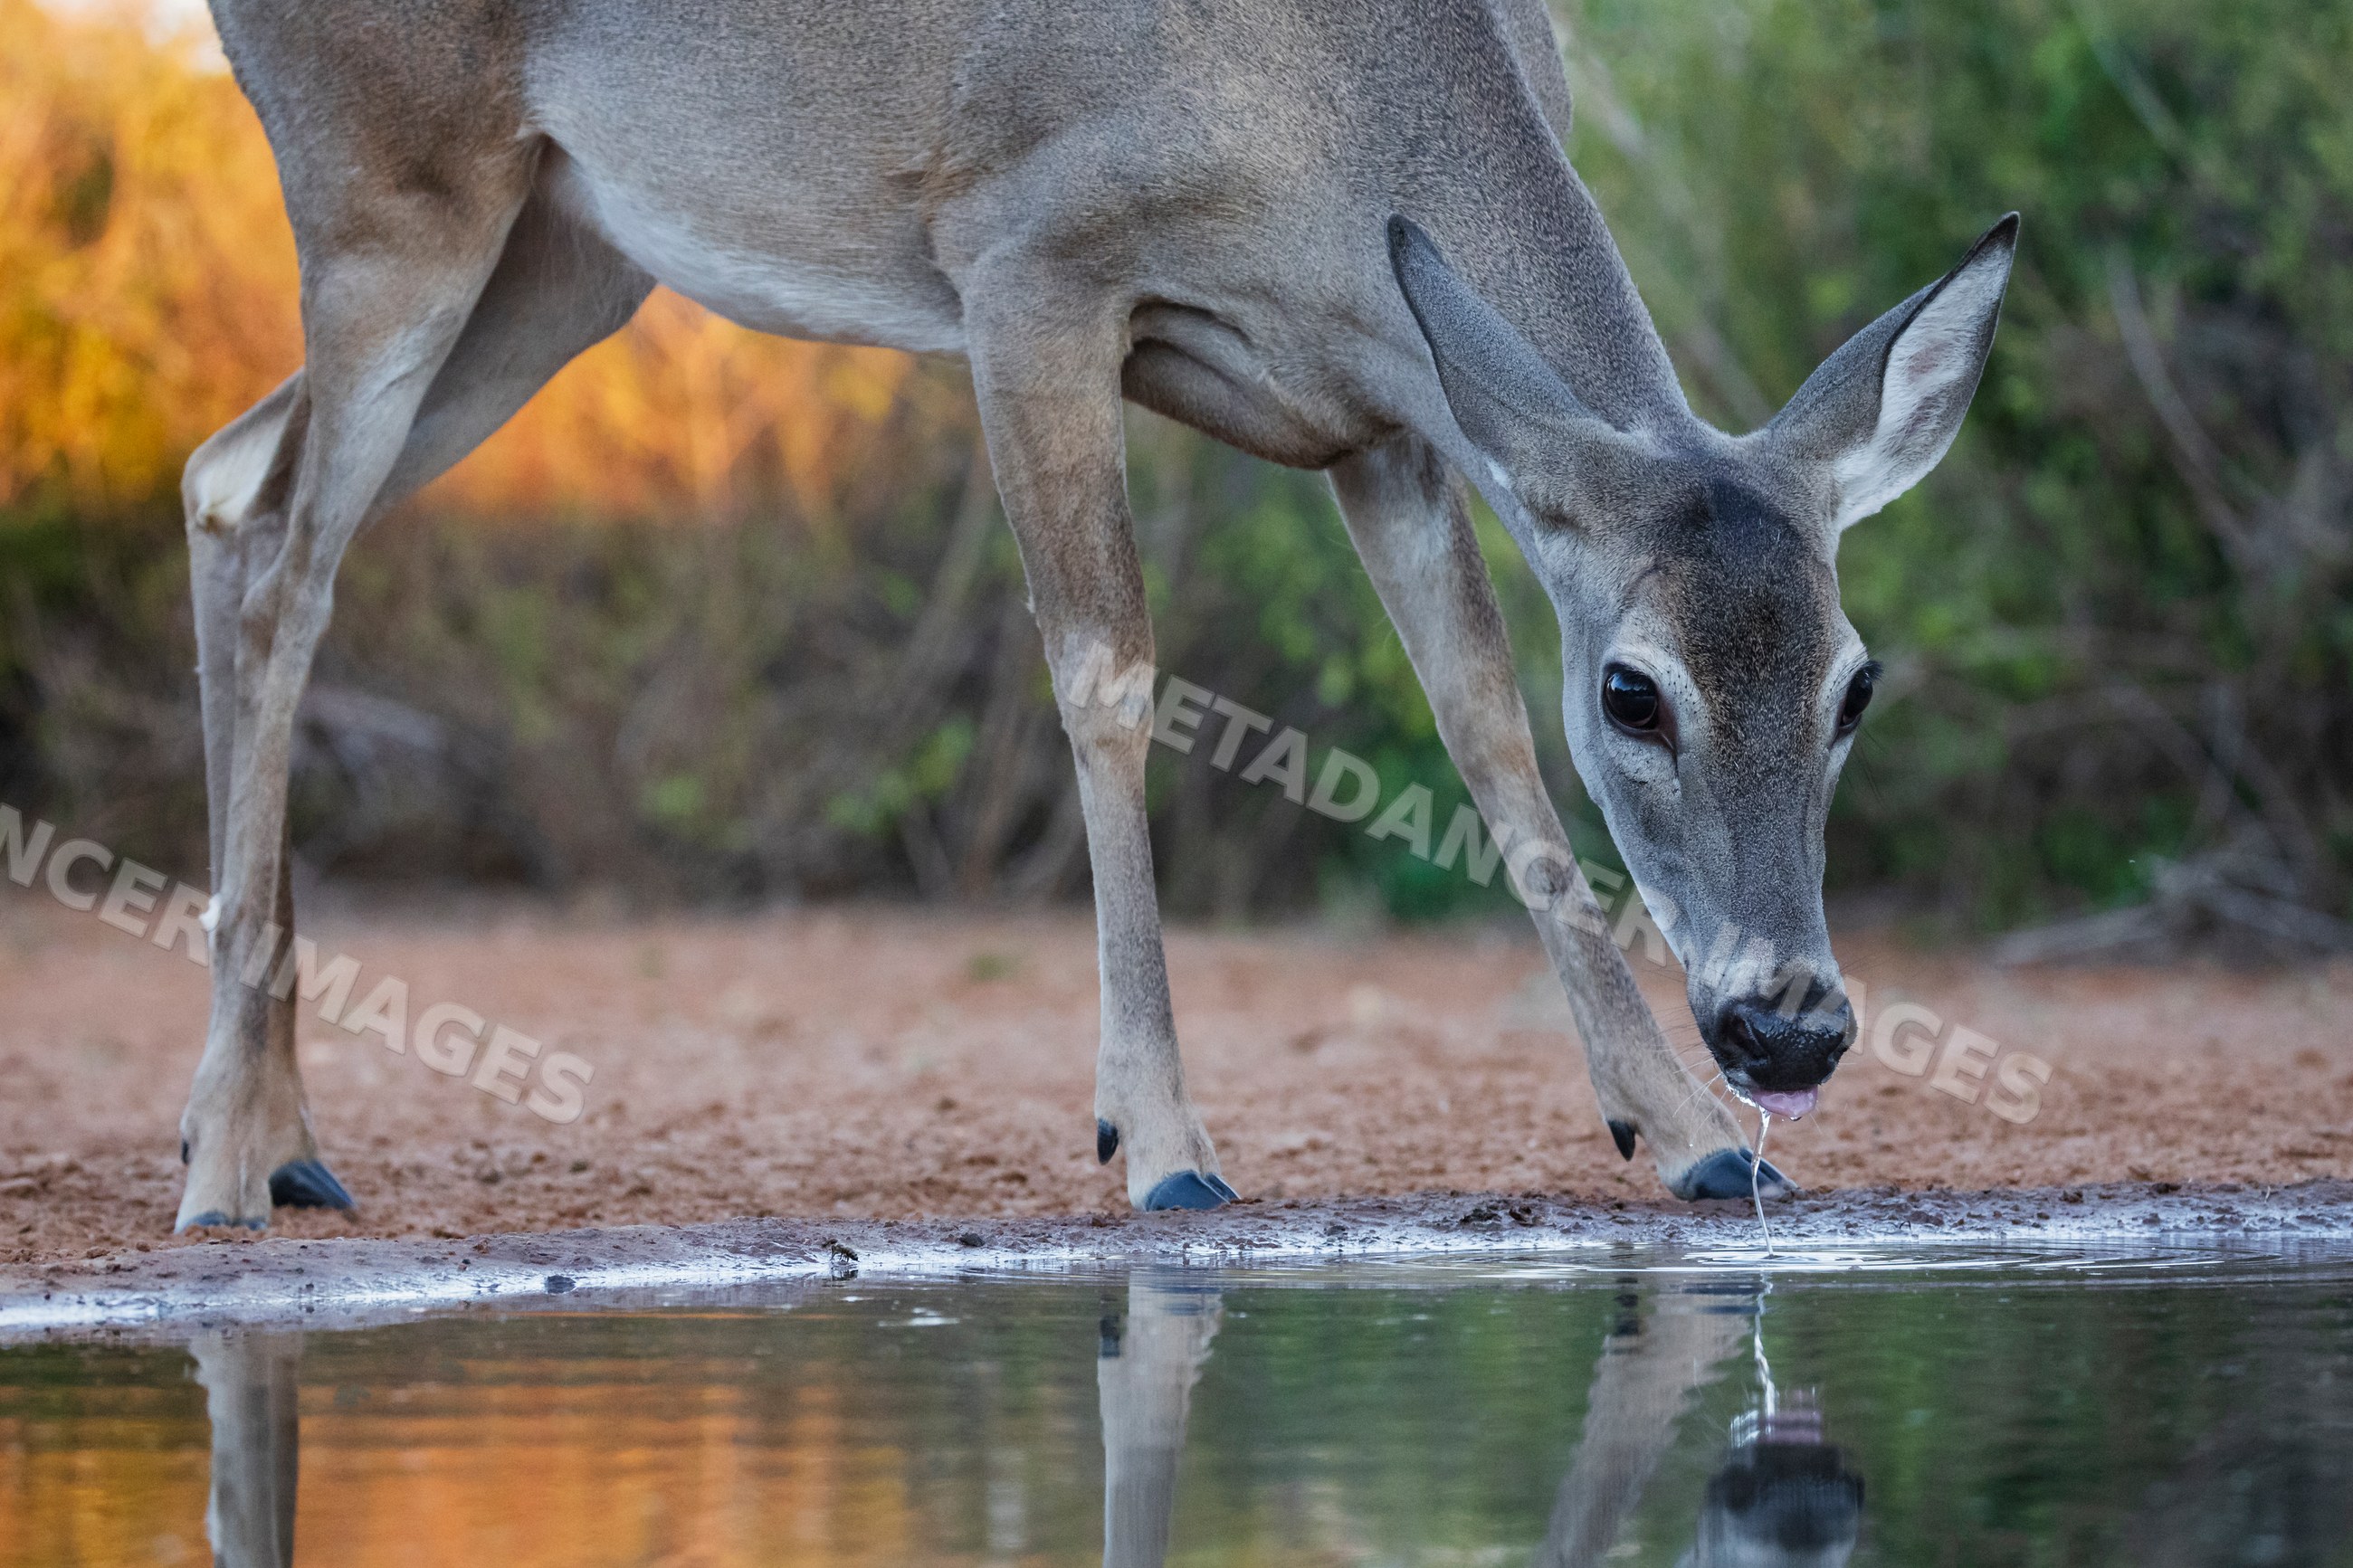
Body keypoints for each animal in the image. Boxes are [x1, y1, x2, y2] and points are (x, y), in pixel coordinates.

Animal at [172, 0, 2014, 1229]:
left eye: (1854, 684)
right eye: (1636, 691)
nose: (1787, 1021)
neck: (1336, 110)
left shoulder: (1388, 415)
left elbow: (1482, 723)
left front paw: (1677, 1125)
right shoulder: (1025, 261)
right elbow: (1110, 670)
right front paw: (1163, 1144)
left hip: (564, 252)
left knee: (224, 481)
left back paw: (261, 1131)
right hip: (388, 185)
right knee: (289, 558)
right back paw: (236, 1154)